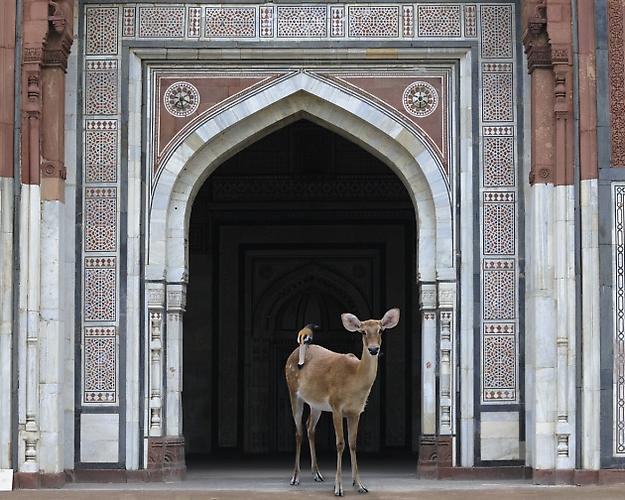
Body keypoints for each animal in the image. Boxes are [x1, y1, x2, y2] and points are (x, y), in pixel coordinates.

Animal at [284, 308, 400, 496]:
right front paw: (338, 488)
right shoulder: (336, 406)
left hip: (316, 404)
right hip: (293, 392)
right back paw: (295, 478)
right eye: (363, 331)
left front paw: (359, 485)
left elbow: (352, 444)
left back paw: (317, 474)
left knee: (310, 428)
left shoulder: (356, 411)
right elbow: (340, 443)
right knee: (298, 431)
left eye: (381, 330)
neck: (354, 381)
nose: (374, 349)